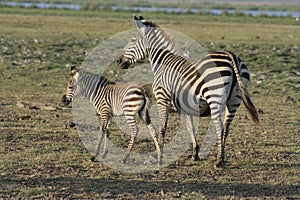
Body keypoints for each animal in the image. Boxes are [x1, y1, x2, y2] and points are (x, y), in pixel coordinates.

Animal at [116, 14, 258, 167]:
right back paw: (222, 157)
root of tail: (231, 57)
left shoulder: (162, 98)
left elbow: (163, 127)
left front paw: (159, 157)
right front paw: (195, 153)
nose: (118, 61)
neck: (163, 62)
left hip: (215, 98)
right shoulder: (185, 105)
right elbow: (191, 127)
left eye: (132, 40)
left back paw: (219, 160)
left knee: (219, 128)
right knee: (226, 128)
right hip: (234, 101)